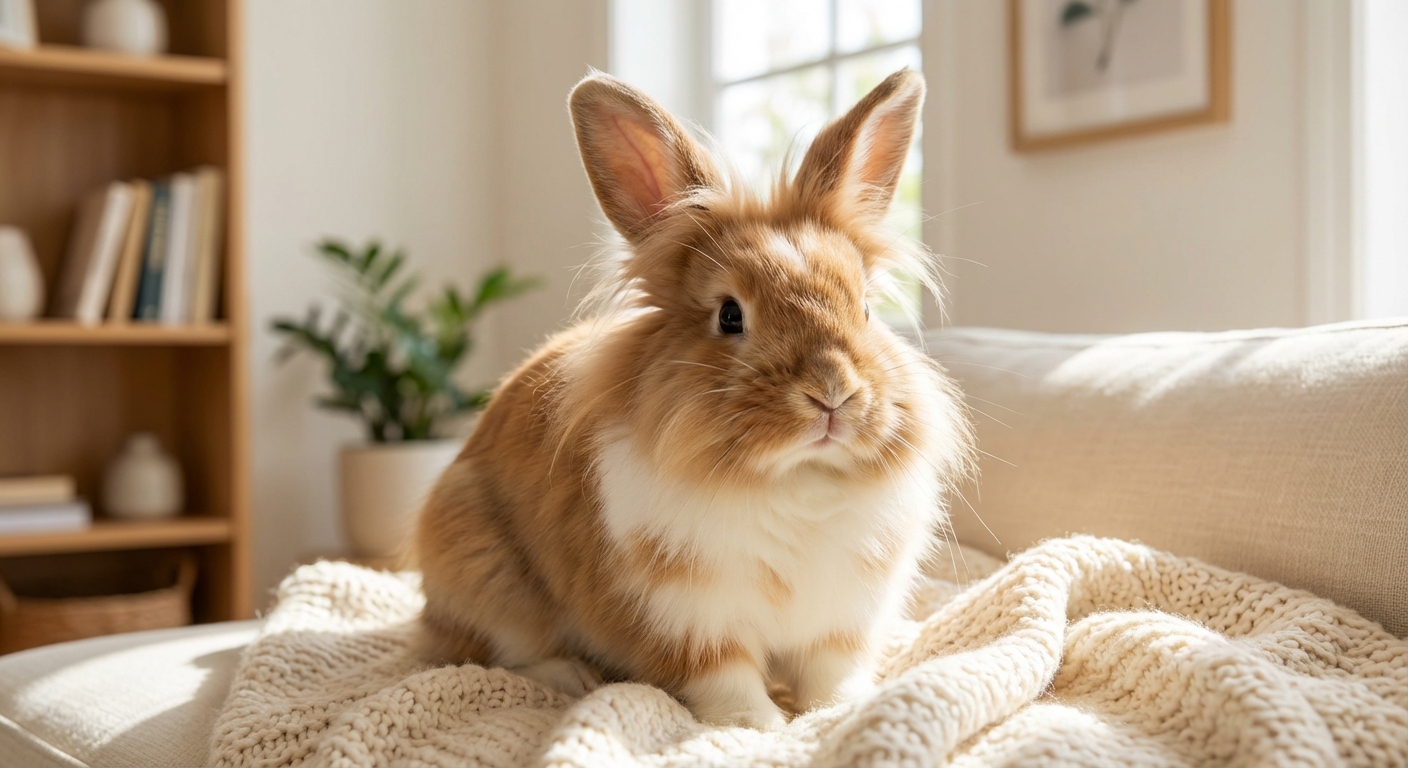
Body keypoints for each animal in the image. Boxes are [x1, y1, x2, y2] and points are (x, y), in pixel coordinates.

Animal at [413, 68, 974, 730]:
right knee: (498, 652)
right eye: (730, 316)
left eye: (864, 308)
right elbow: (727, 683)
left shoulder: (837, 625)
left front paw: (838, 713)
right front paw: (760, 729)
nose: (832, 393)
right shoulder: (689, 624)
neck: (793, 480)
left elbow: (829, 678)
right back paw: (573, 674)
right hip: (482, 571)